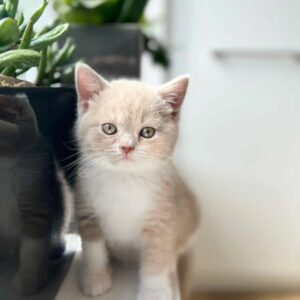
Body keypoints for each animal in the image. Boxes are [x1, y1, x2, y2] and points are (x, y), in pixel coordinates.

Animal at [73, 63, 199, 300]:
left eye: (147, 132)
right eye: (109, 128)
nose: (127, 147)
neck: (124, 179)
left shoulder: (162, 217)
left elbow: (156, 257)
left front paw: (154, 291)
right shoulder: (87, 208)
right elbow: (94, 249)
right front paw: (95, 279)